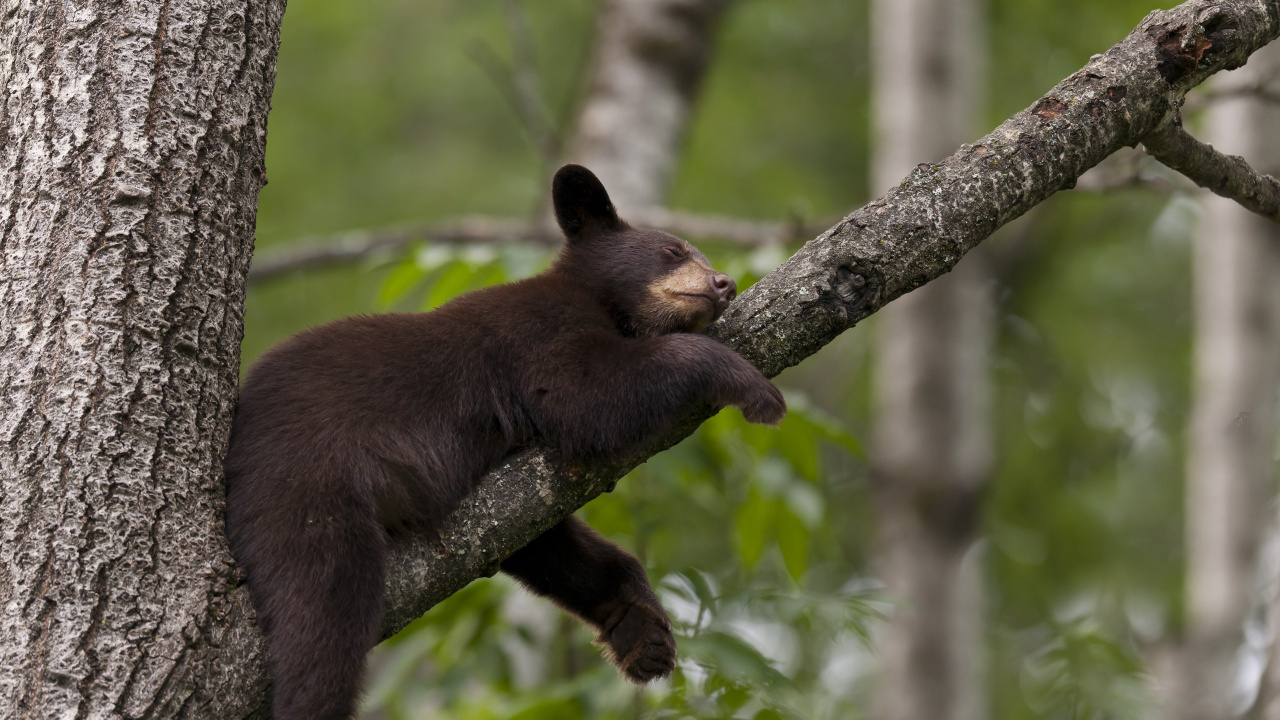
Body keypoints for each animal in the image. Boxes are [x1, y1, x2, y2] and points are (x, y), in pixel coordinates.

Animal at [223, 164, 787, 720]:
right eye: (673, 250)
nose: (725, 283)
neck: (603, 304)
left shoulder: (510, 486)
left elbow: (540, 538)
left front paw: (640, 630)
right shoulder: (535, 334)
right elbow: (582, 395)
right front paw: (751, 385)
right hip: (308, 485)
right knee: (325, 611)